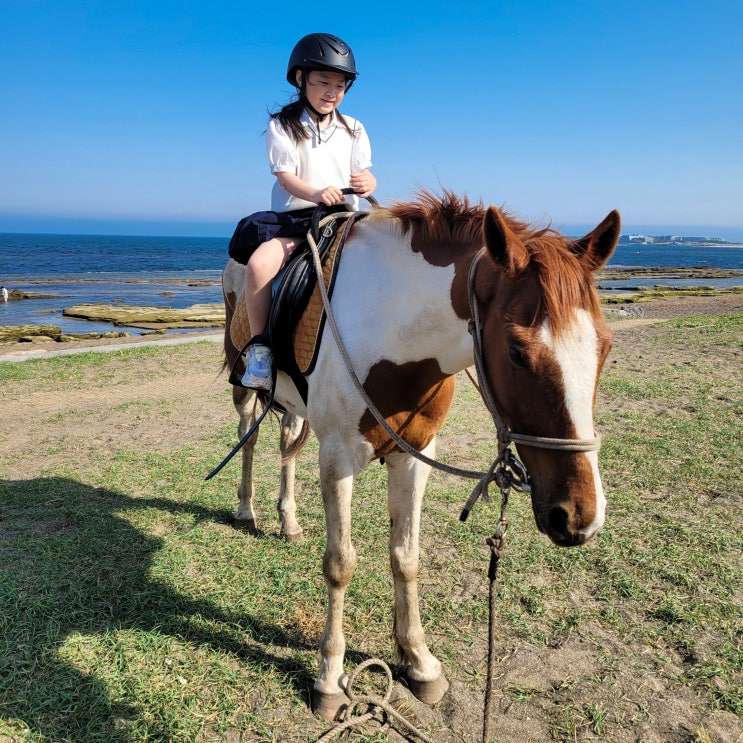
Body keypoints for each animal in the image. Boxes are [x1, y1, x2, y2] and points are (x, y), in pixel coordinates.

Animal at [218, 192, 620, 720]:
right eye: (516, 351)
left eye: (605, 346)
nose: (579, 517)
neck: (392, 330)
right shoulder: (338, 459)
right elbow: (340, 563)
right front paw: (330, 677)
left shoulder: (415, 456)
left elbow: (406, 557)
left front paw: (418, 661)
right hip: (246, 385)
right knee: (248, 436)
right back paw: (246, 508)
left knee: (287, 444)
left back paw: (288, 520)